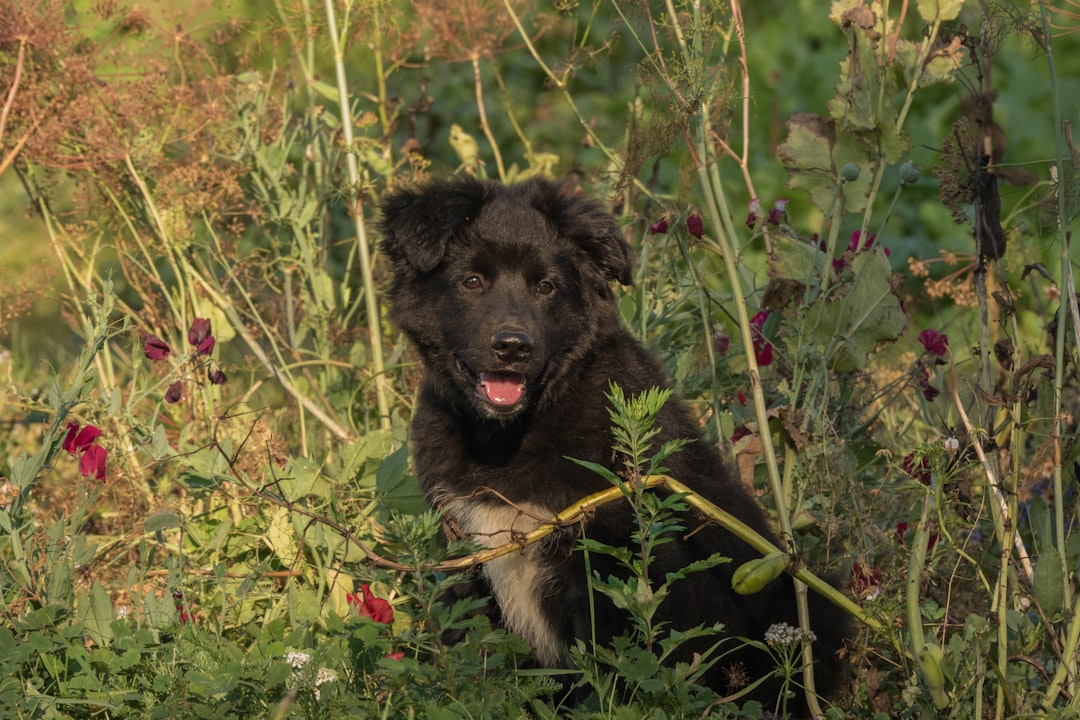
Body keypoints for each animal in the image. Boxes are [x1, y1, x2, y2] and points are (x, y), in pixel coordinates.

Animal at [375, 179, 846, 708]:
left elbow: (613, 662)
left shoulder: (613, 554)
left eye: (546, 287)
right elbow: (479, 652)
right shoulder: (467, 550)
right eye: (471, 281)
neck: (511, 435)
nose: (512, 346)